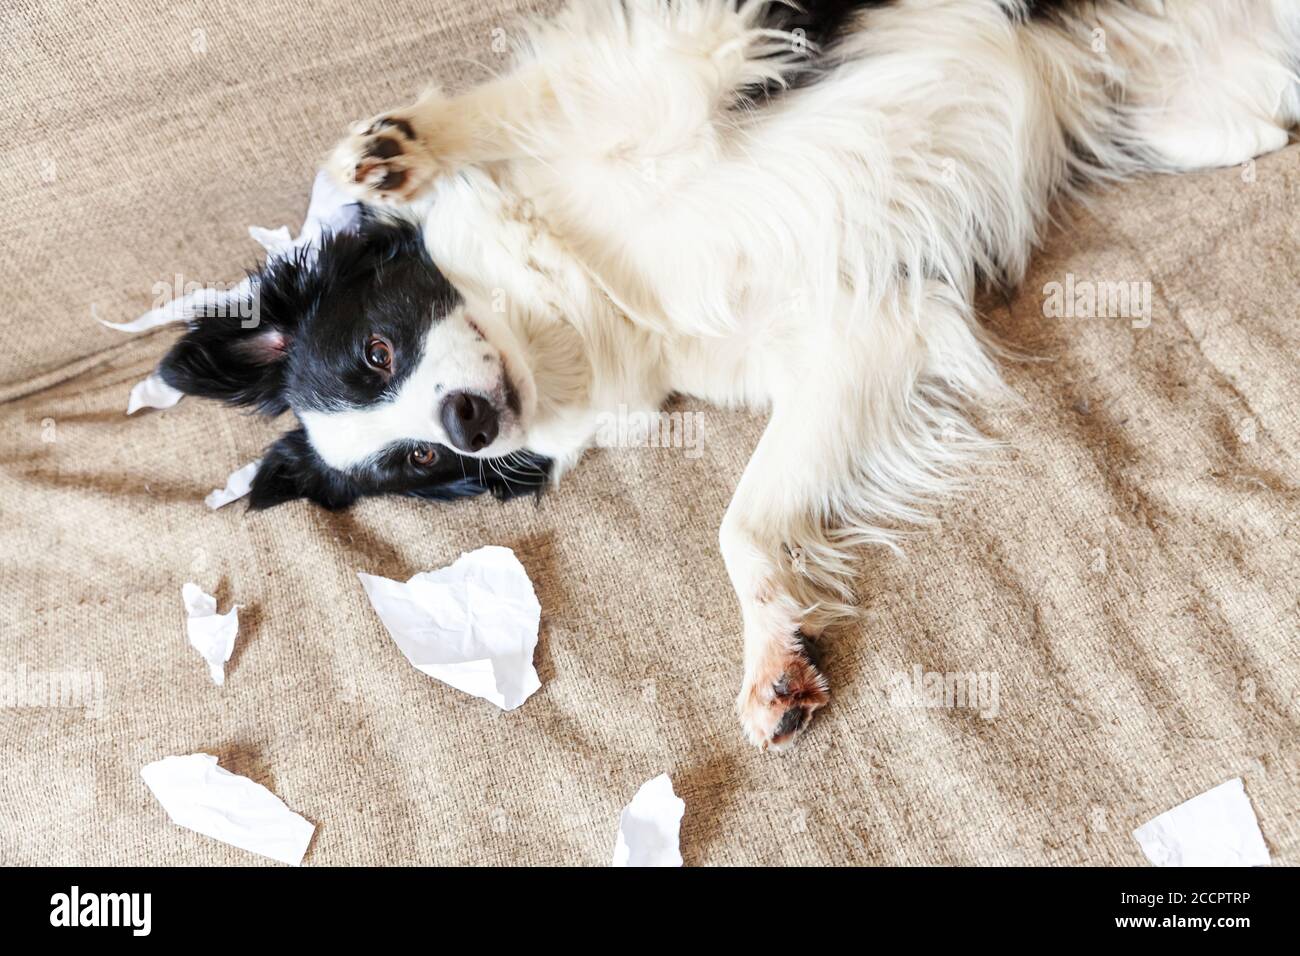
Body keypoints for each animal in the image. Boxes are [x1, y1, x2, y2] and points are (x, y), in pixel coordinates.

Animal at [162, 0, 1300, 749]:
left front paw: (395, 147)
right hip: (1180, 109)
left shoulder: (685, 47)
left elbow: (533, 94)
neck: (580, 279)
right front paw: (774, 654)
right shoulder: (853, 336)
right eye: (421, 465)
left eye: (378, 351)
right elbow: (744, 523)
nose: (469, 423)